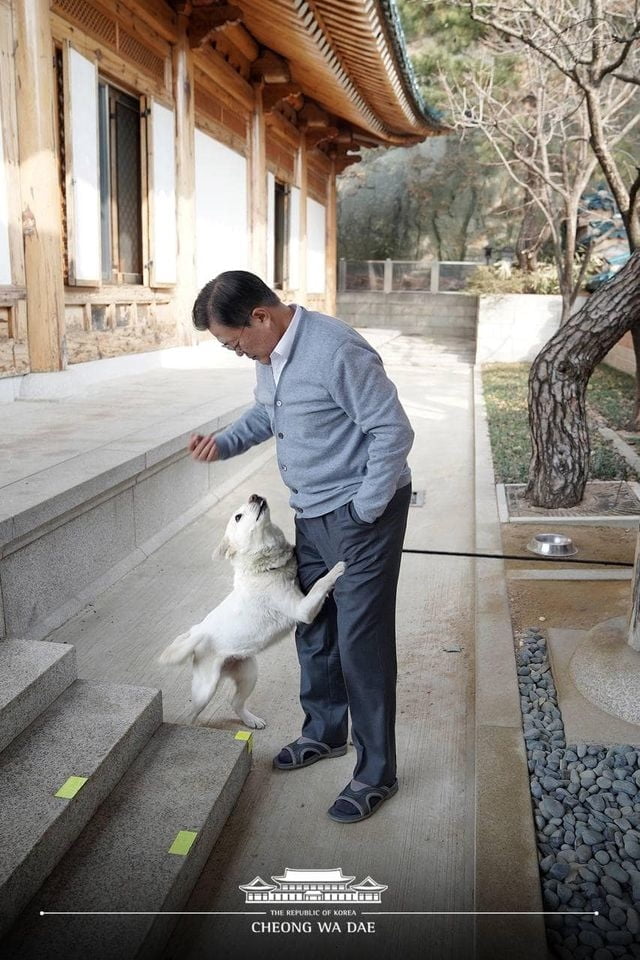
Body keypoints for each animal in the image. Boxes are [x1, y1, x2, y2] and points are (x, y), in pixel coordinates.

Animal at [159, 496, 344, 728]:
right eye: (238, 517)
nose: (254, 495)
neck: (264, 568)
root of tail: (196, 631)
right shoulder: (302, 610)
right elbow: (320, 583)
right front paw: (337, 569)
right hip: (205, 690)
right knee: (193, 713)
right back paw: (189, 727)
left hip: (249, 674)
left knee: (234, 702)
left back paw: (251, 721)